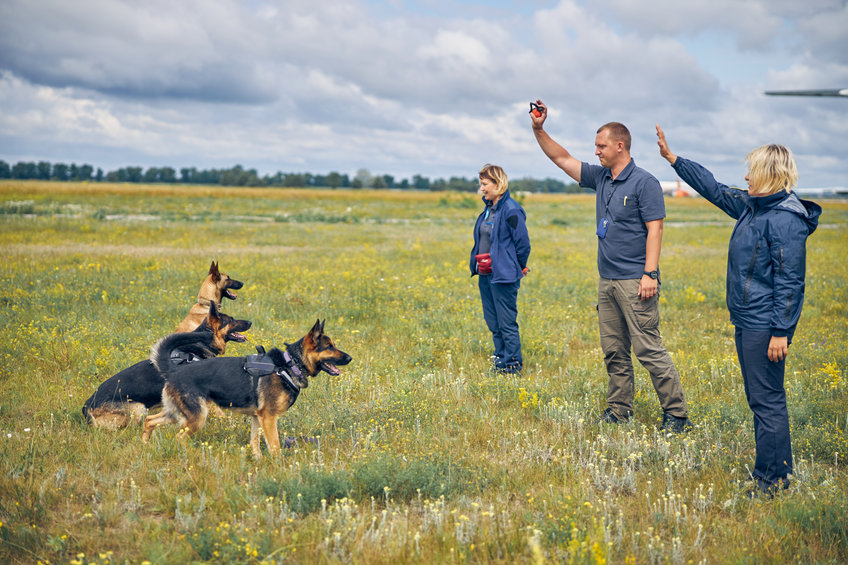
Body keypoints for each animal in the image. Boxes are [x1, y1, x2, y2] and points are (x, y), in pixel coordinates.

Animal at [142, 320, 352, 456]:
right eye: (330, 347)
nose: (350, 358)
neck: (289, 364)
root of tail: (174, 370)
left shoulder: (258, 418)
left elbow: (254, 443)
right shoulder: (269, 418)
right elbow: (275, 447)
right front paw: (279, 469)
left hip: (178, 413)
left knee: (150, 420)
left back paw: (145, 445)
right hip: (196, 417)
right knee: (179, 438)